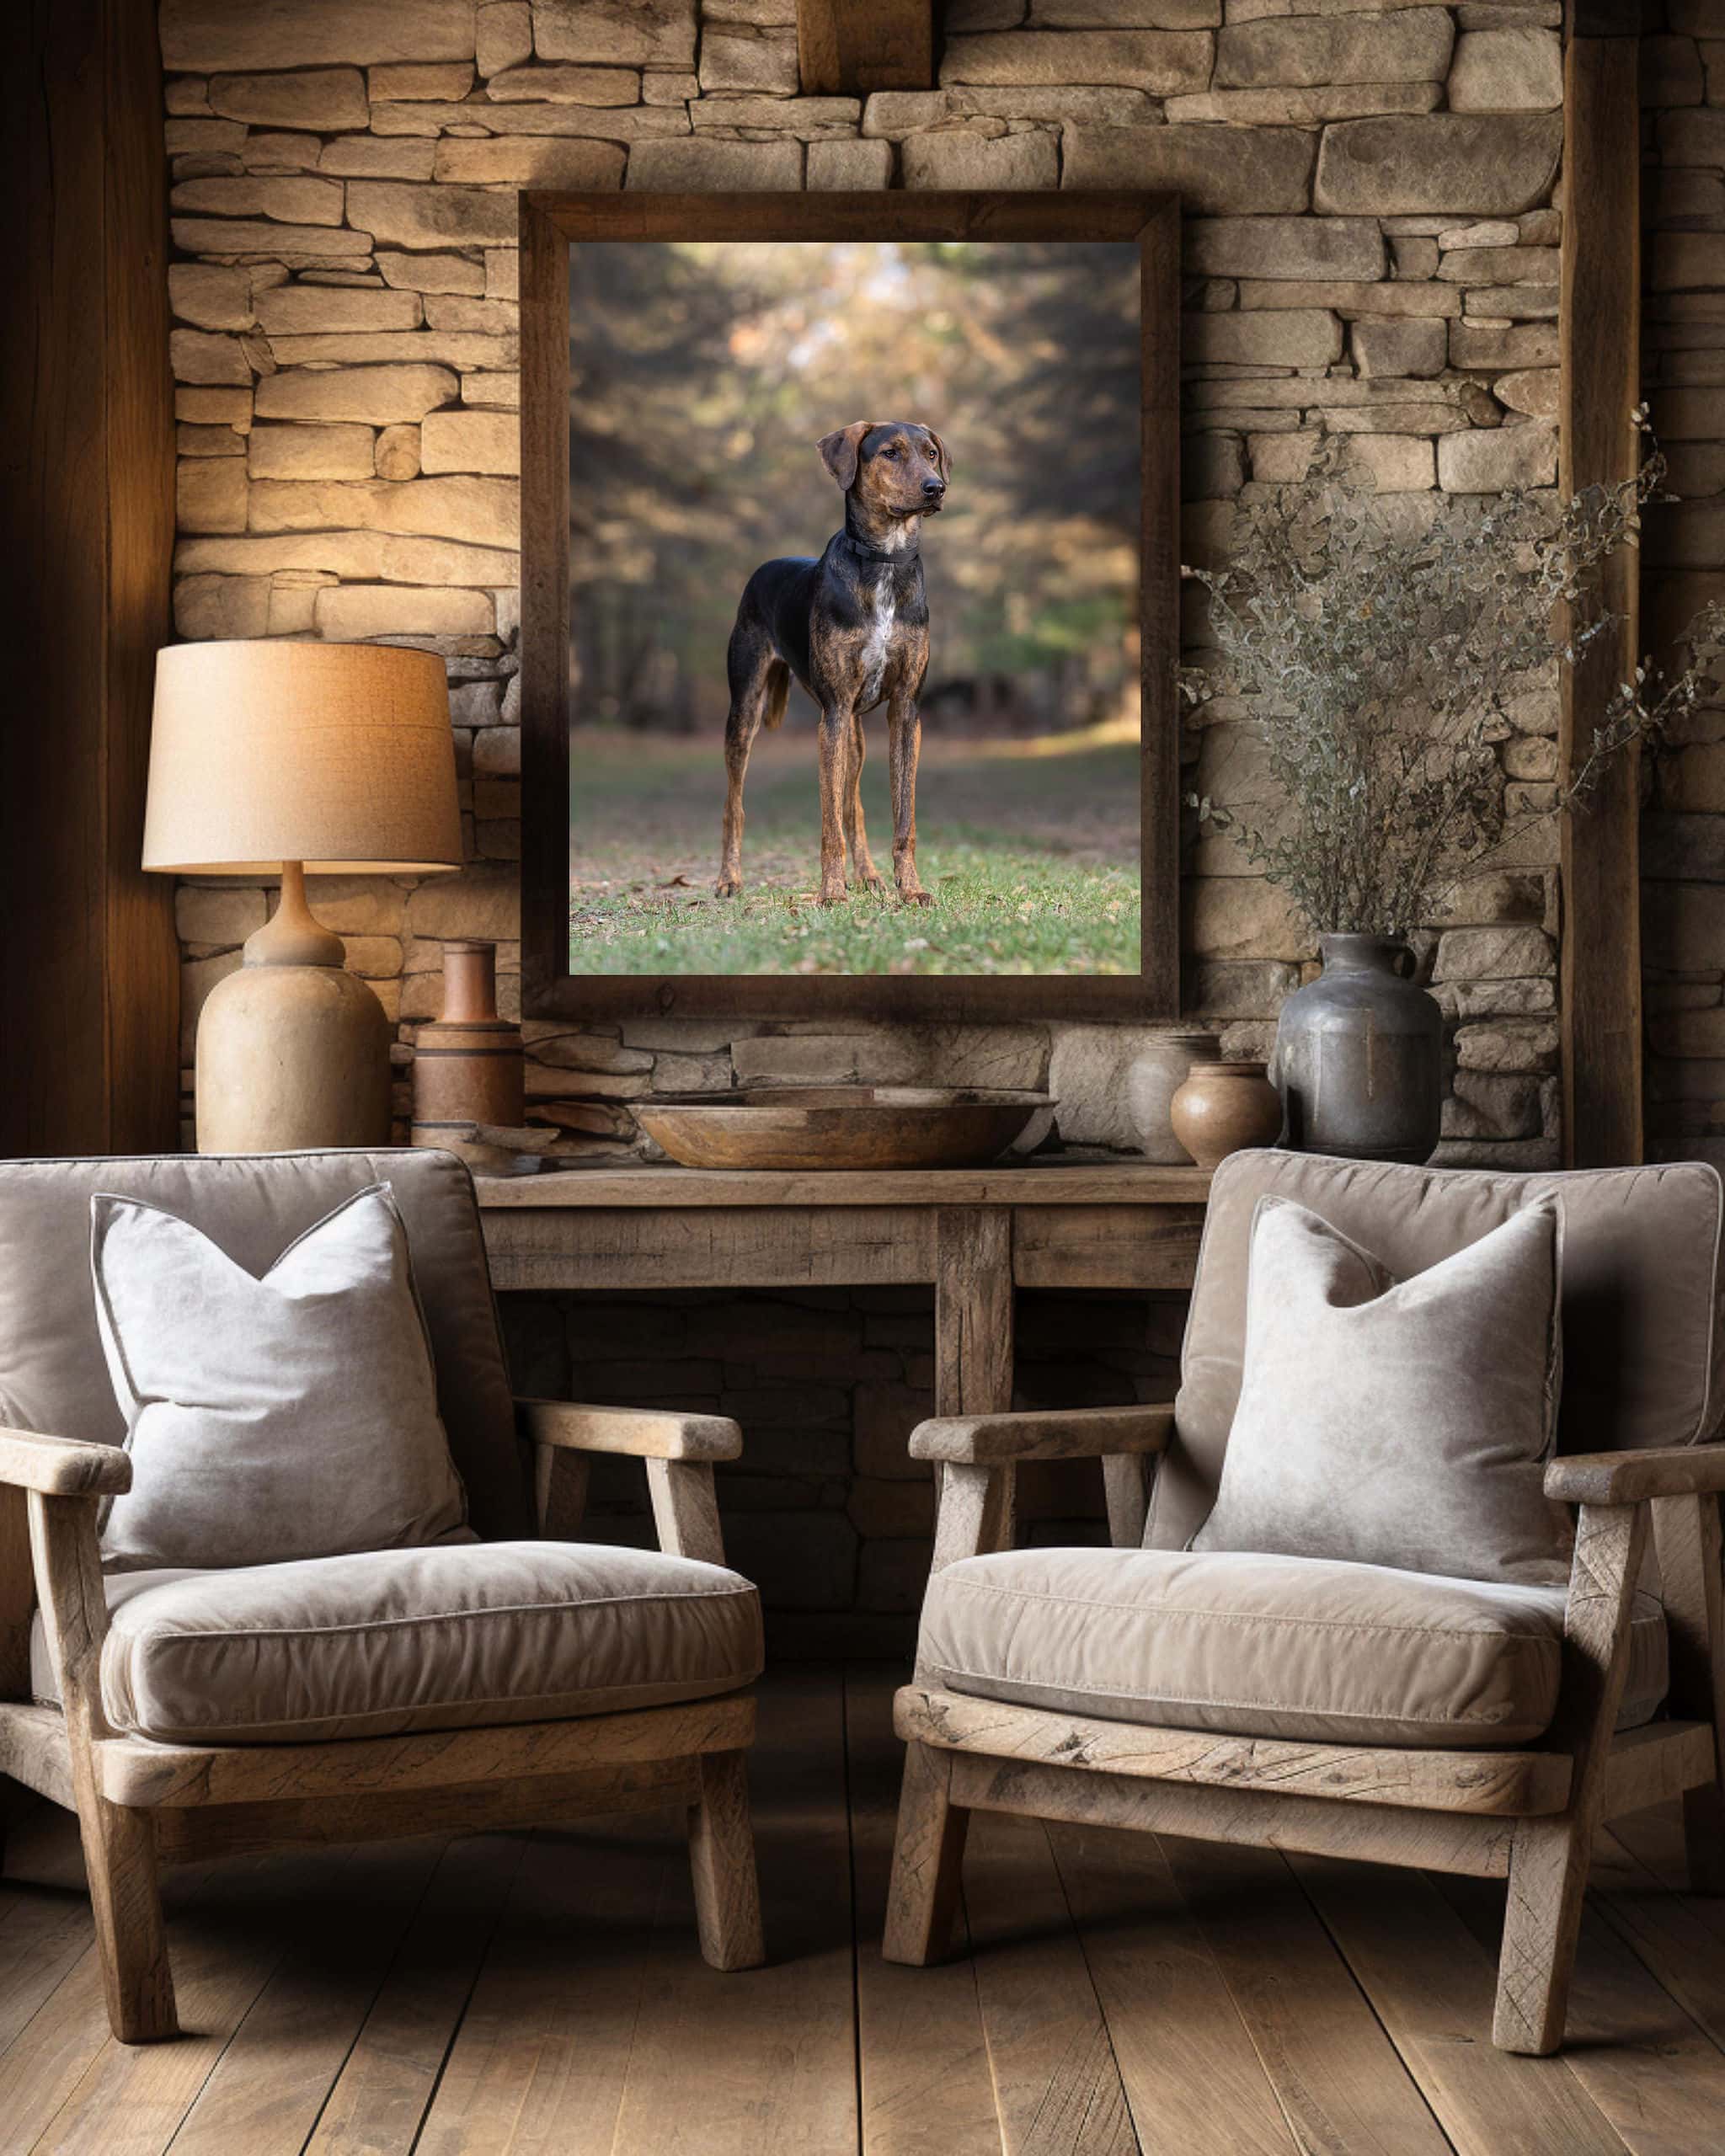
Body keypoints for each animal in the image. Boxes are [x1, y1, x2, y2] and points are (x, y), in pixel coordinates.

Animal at [715, 416, 948, 905]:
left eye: (931, 453)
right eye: (890, 453)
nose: (935, 488)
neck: (885, 561)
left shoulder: (906, 709)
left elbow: (902, 817)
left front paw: (911, 888)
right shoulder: (834, 713)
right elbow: (828, 823)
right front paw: (832, 893)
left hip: (854, 733)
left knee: (852, 804)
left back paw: (869, 874)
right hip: (745, 709)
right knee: (734, 803)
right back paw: (729, 879)